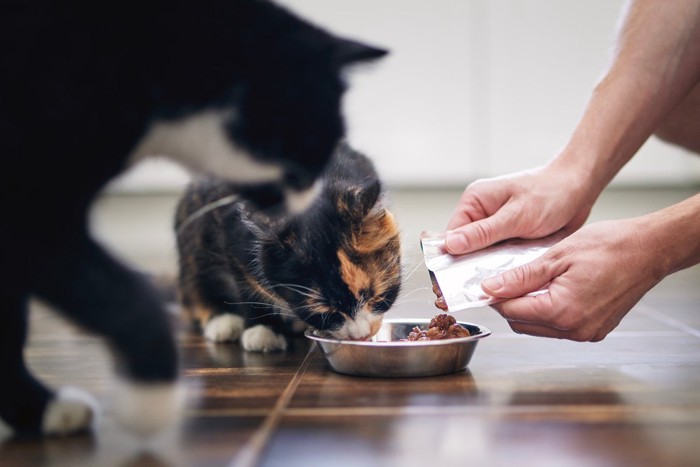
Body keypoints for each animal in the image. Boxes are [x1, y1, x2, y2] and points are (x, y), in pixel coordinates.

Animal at [176, 143, 404, 352]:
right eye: (325, 312)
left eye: (377, 296)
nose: (361, 335)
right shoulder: (232, 236)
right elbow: (246, 285)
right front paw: (262, 331)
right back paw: (222, 322)